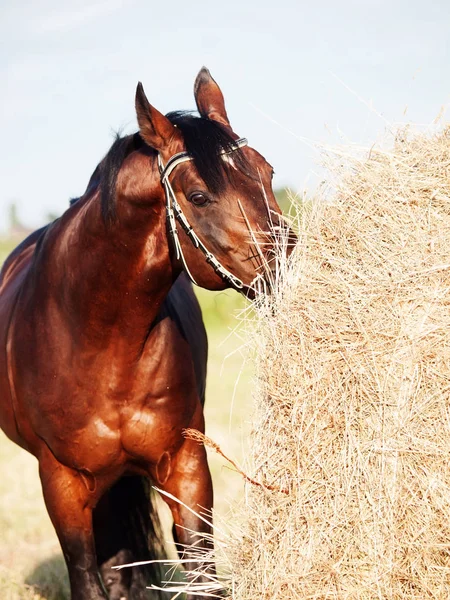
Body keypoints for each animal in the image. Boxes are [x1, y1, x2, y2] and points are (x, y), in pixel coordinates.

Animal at [0, 67, 288, 600]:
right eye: (198, 196)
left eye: (267, 171)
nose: (289, 263)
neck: (101, 341)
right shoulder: (62, 483)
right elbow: (87, 576)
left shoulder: (186, 465)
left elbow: (201, 573)